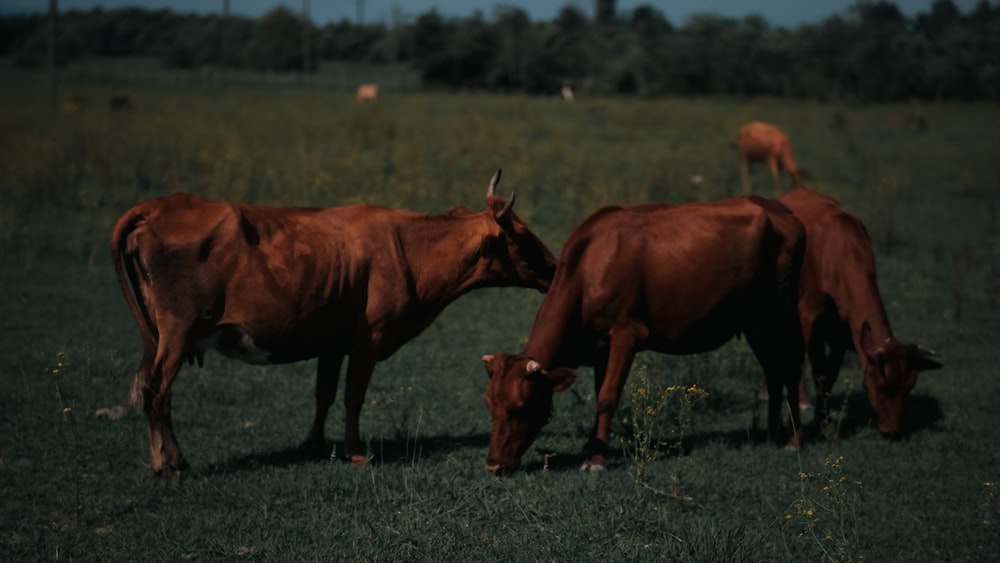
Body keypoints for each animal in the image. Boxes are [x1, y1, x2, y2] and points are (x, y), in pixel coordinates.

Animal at [115, 169, 564, 476]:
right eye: (524, 236)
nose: (557, 267)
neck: (408, 249)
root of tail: (156, 206)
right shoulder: (369, 339)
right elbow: (353, 396)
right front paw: (356, 451)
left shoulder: (331, 340)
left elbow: (324, 393)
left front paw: (314, 445)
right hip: (176, 332)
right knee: (157, 390)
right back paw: (170, 463)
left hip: (158, 337)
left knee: (150, 387)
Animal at [482, 196, 804, 474]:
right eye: (490, 406)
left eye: (521, 407)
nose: (494, 464)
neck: (590, 266)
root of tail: (775, 206)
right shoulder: (601, 345)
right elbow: (599, 392)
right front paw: (592, 446)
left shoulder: (627, 334)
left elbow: (607, 397)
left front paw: (596, 459)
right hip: (756, 322)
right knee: (774, 371)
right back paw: (770, 434)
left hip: (783, 312)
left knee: (792, 369)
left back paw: (793, 439)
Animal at [760, 187, 940, 438]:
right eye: (883, 387)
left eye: (909, 387)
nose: (894, 432)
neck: (837, 255)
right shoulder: (807, 316)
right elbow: (806, 366)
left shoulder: (841, 333)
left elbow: (828, 375)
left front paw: (824, 421)